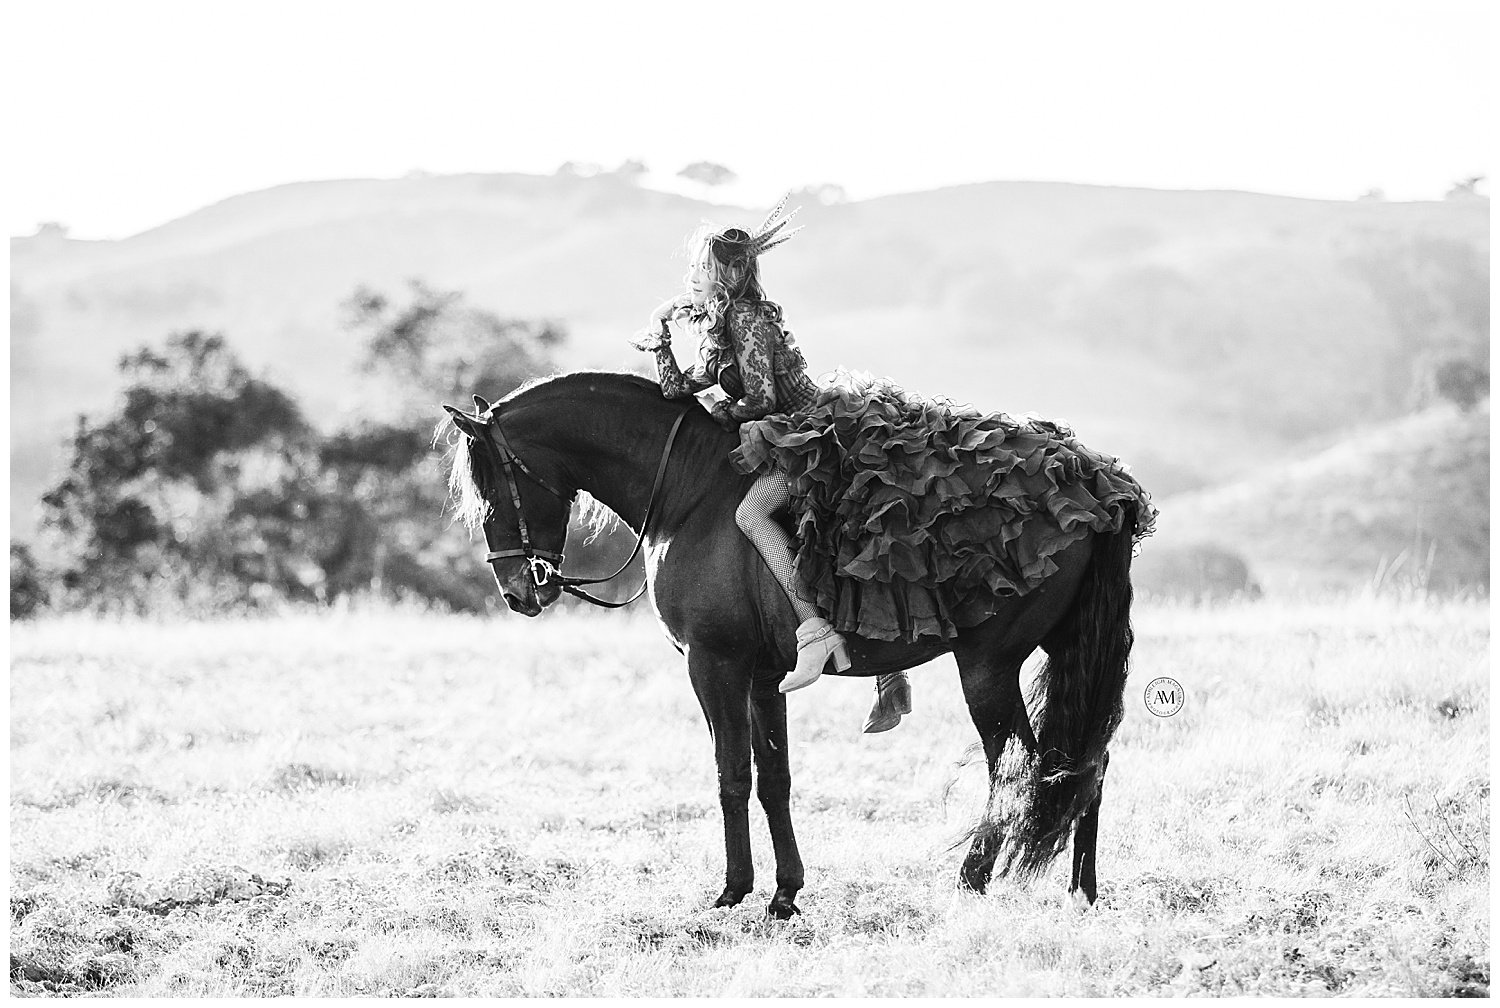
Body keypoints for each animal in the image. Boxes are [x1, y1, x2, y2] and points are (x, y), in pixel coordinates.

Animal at [438, 372, 1140, 924]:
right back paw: (1081, 891)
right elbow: (773, 777)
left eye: (493, 484)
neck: (693, 491)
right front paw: (785, 893)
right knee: (1086, 765)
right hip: (1070, 657)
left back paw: (971, 880)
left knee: (1019, 769)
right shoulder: (762, 676)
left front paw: (732, 891)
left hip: (987, 670)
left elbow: (730, 773)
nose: (517, 590)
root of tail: (1100, 486)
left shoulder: (714, 664)